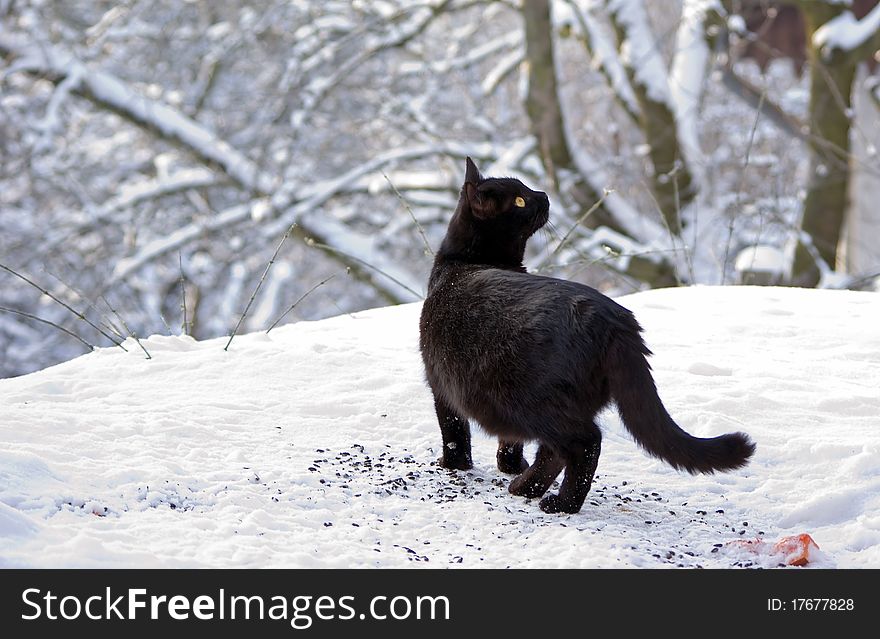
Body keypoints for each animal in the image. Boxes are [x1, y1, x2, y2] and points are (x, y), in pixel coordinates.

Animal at [420, 159, 756, 516]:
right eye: (520, 200)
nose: (543, 194)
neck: (464, 263)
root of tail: (615, 319)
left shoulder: (440, 382)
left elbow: (453, 430)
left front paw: (454, 464)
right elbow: (509, 440)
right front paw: (509, 466)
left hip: (531, 401)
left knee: (584, 444)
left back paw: (558, 502)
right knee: (556, 450)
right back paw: (525, 486)